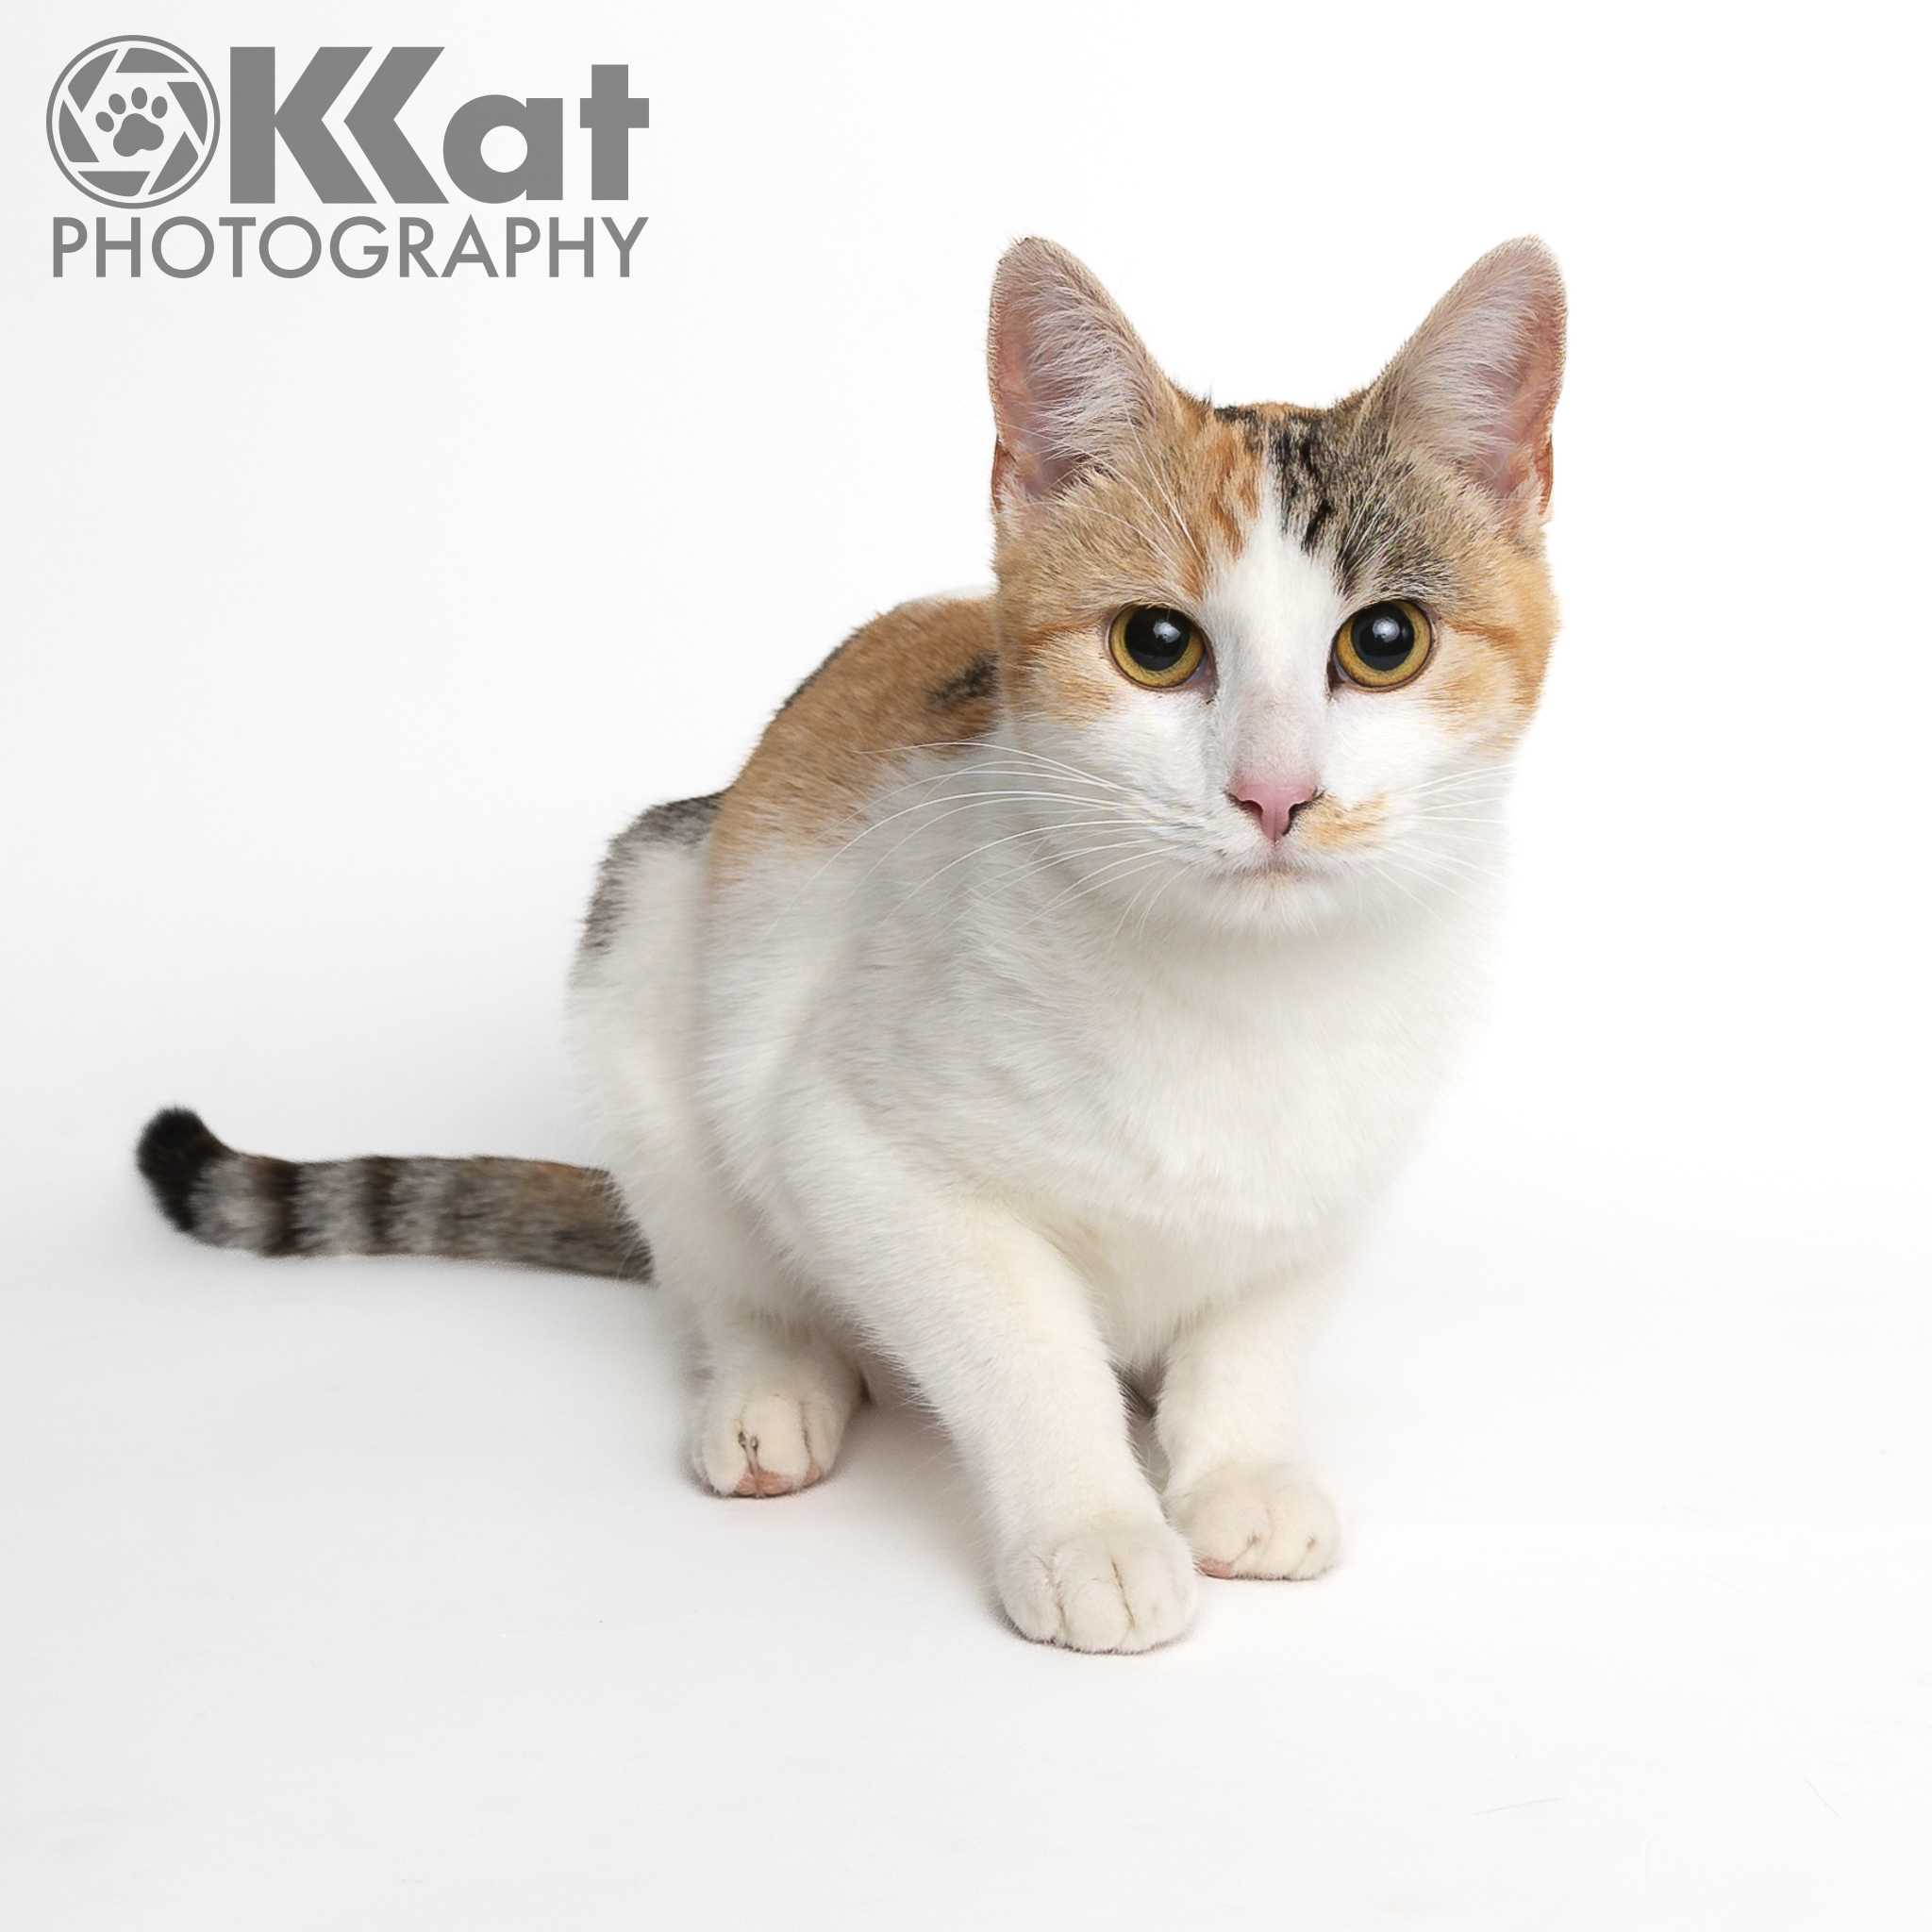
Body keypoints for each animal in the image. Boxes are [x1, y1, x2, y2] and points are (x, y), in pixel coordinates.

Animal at [146, 242, 1568, 1654]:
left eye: (1383, 643)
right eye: (1156, 646)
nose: (1275, 794)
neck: (1248, 997)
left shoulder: (1330, 1187)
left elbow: (1256, 1331)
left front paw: (1236, 1469)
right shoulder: (857, 1153)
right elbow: (1024, 1354)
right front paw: (1092, 1530)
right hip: (646, 948)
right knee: (724, 1270)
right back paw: (774, 1386)